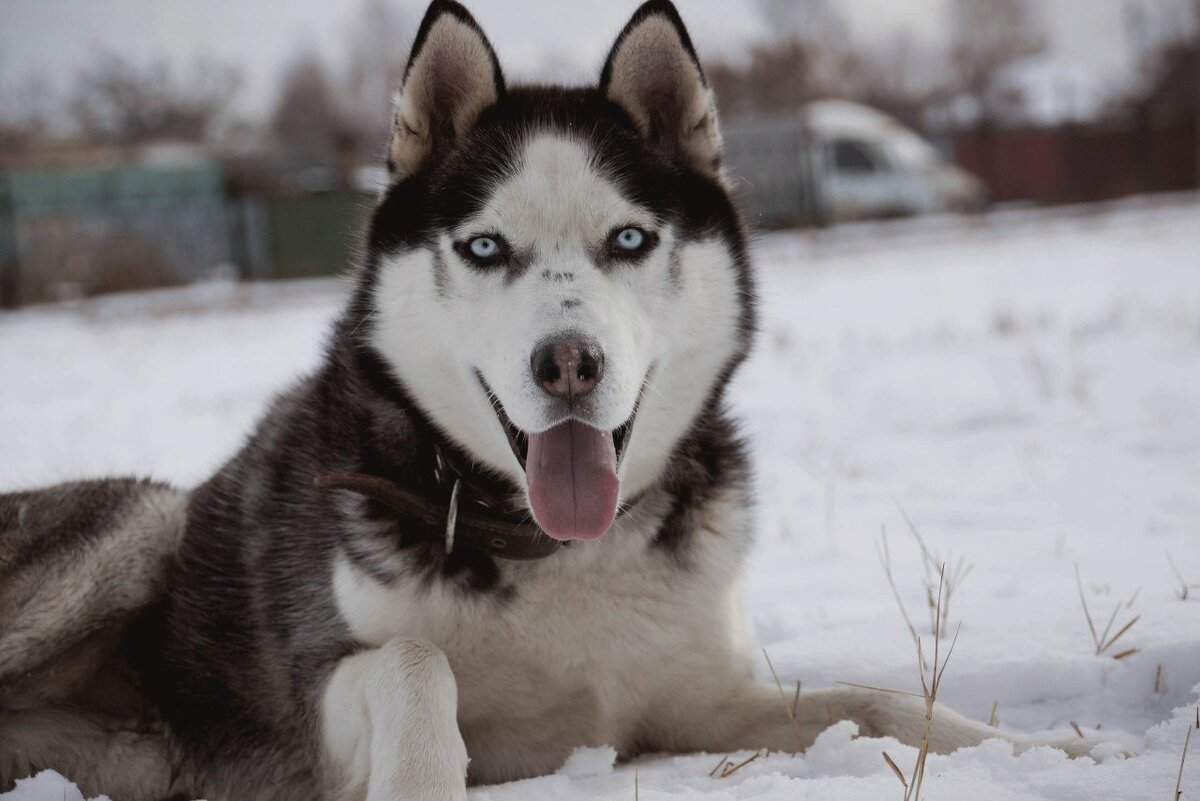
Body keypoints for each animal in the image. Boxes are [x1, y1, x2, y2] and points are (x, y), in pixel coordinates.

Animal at [0, 3, 1104, 796]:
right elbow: (417, 664)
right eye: (486, 246)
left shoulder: (693, 701)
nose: (567, 363)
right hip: (144, 524)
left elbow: (879, 703)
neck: (557, 550)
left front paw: (1062, 753)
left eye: (630, 239)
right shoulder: (315, 702)